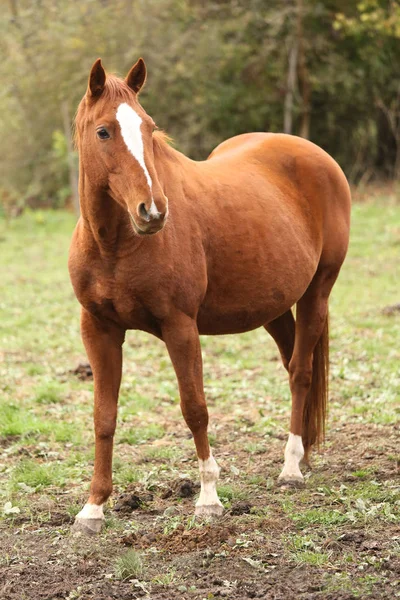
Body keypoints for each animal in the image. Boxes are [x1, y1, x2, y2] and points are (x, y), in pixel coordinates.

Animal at [69, 57, 350, 536]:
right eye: (103, 131)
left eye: (149, 127)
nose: (153, 212)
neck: (114, 245)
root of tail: (318, 156)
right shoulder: (99, 330)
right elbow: (103, 417)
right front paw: (93, 508)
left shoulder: (180, 326)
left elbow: (194, 408)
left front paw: (208, 499)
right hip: (273, 308)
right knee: (294, 363)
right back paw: (304, 455)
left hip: (319, 291)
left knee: (301, 373)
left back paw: (291, 468)